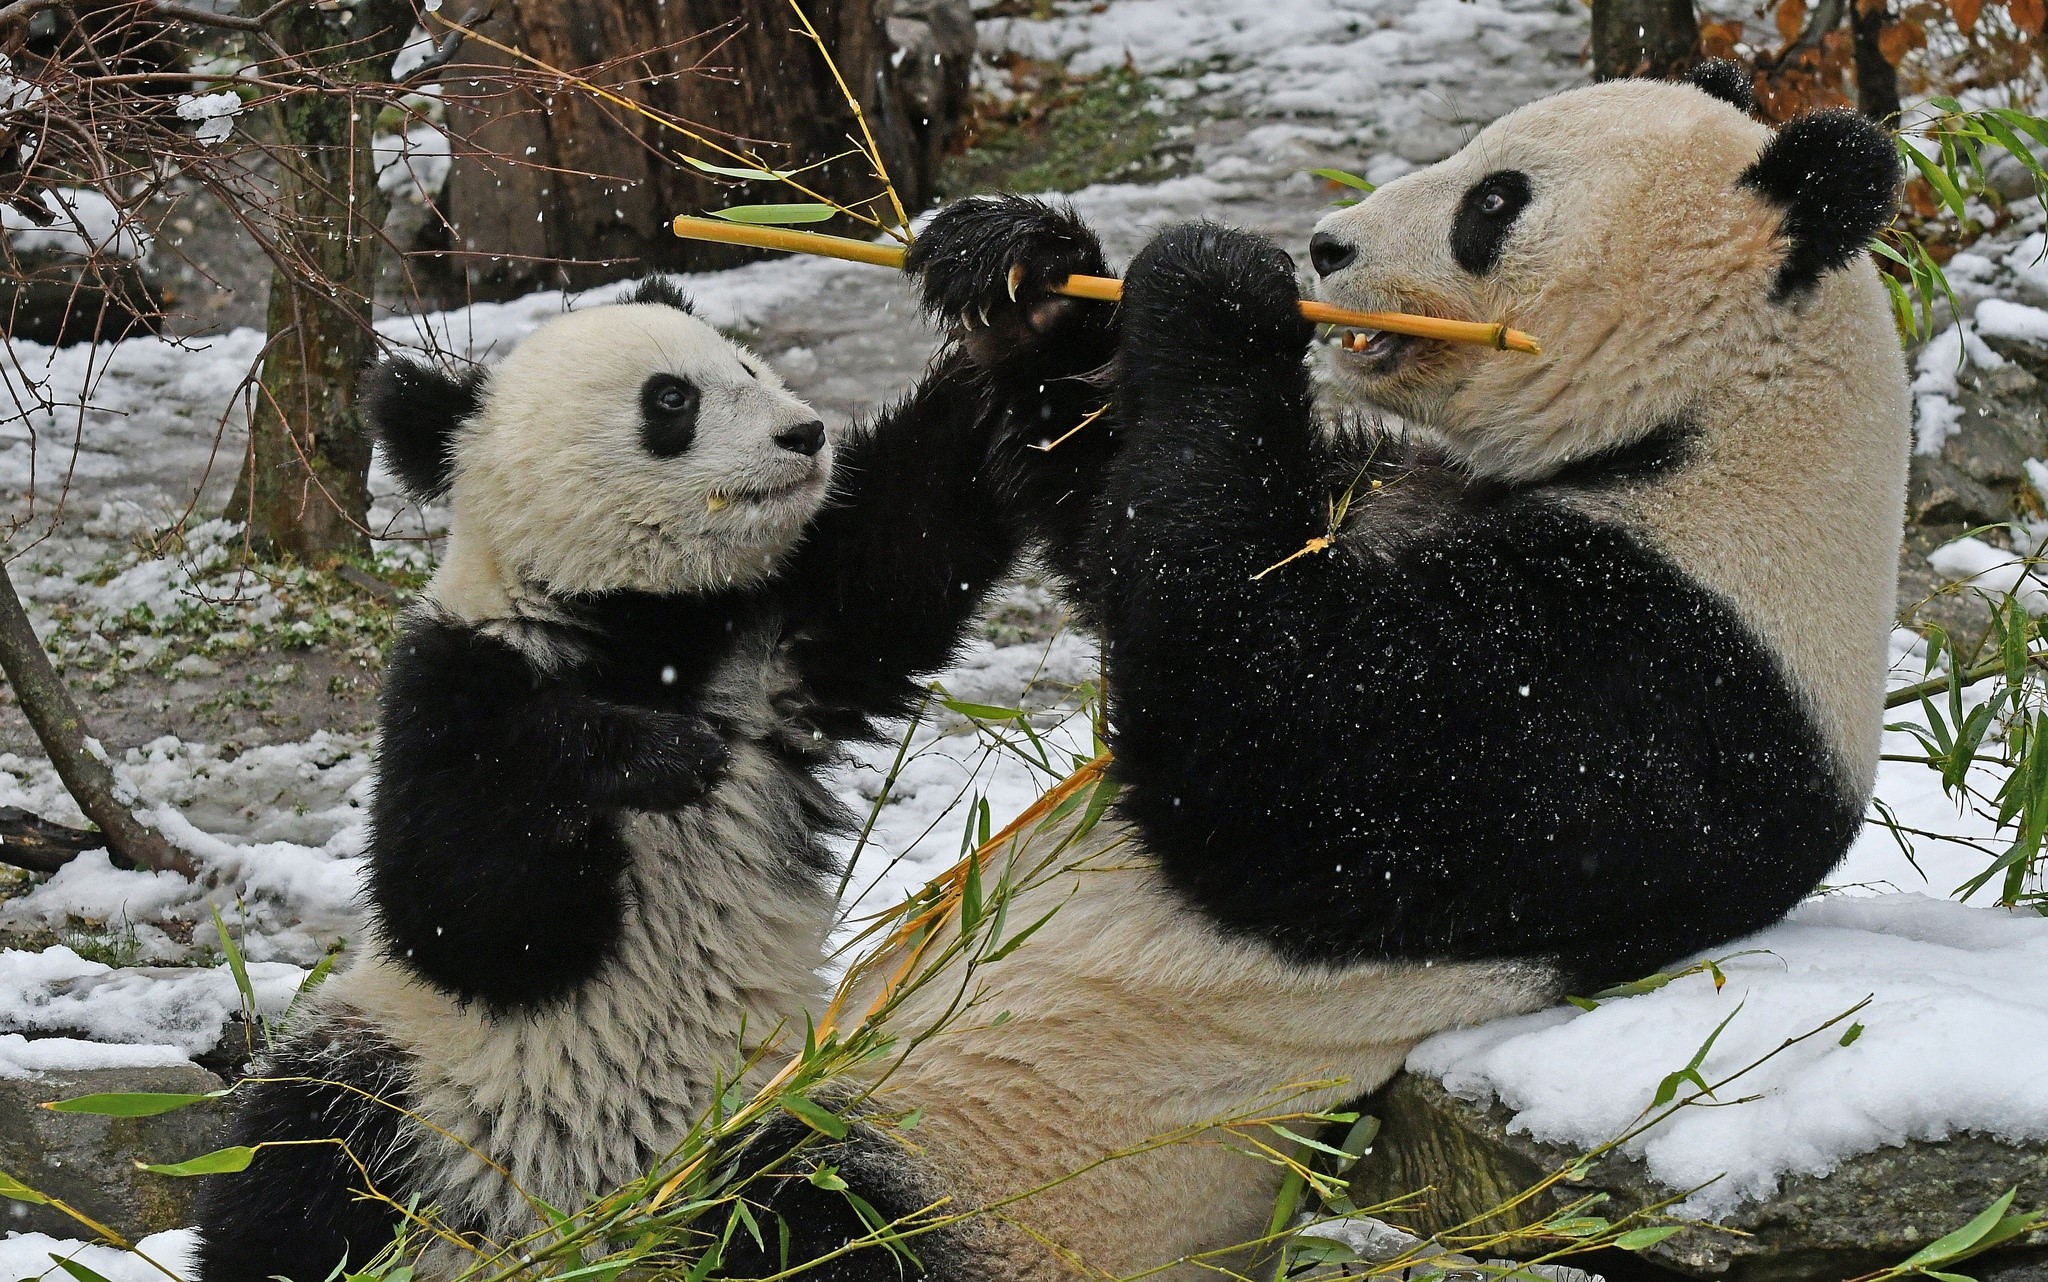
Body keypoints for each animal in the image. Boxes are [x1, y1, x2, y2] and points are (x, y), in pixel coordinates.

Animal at [188, 278, 1049, 1281]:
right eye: (671, 401)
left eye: (747, 364)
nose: (804, 434)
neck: (642, 627)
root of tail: (577, 1236)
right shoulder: (452, 684)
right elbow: (468, 905)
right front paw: (649, 756)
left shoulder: (777, 643)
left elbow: (911, 541)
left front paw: (1020, 302)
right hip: (408, 1082)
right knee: (294, 1172)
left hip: (786, 1109)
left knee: (838, 1212)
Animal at [719, 67, 1912, 1281]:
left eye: (1492, 201)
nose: (1327, 247)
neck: (1712, 429)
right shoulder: (1393, 489)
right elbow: (1126, 506)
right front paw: (1028, 271)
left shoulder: (1659, 676)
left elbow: (1285, 753)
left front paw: (1216, 287)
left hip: (999, 1184)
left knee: (812, 1219)